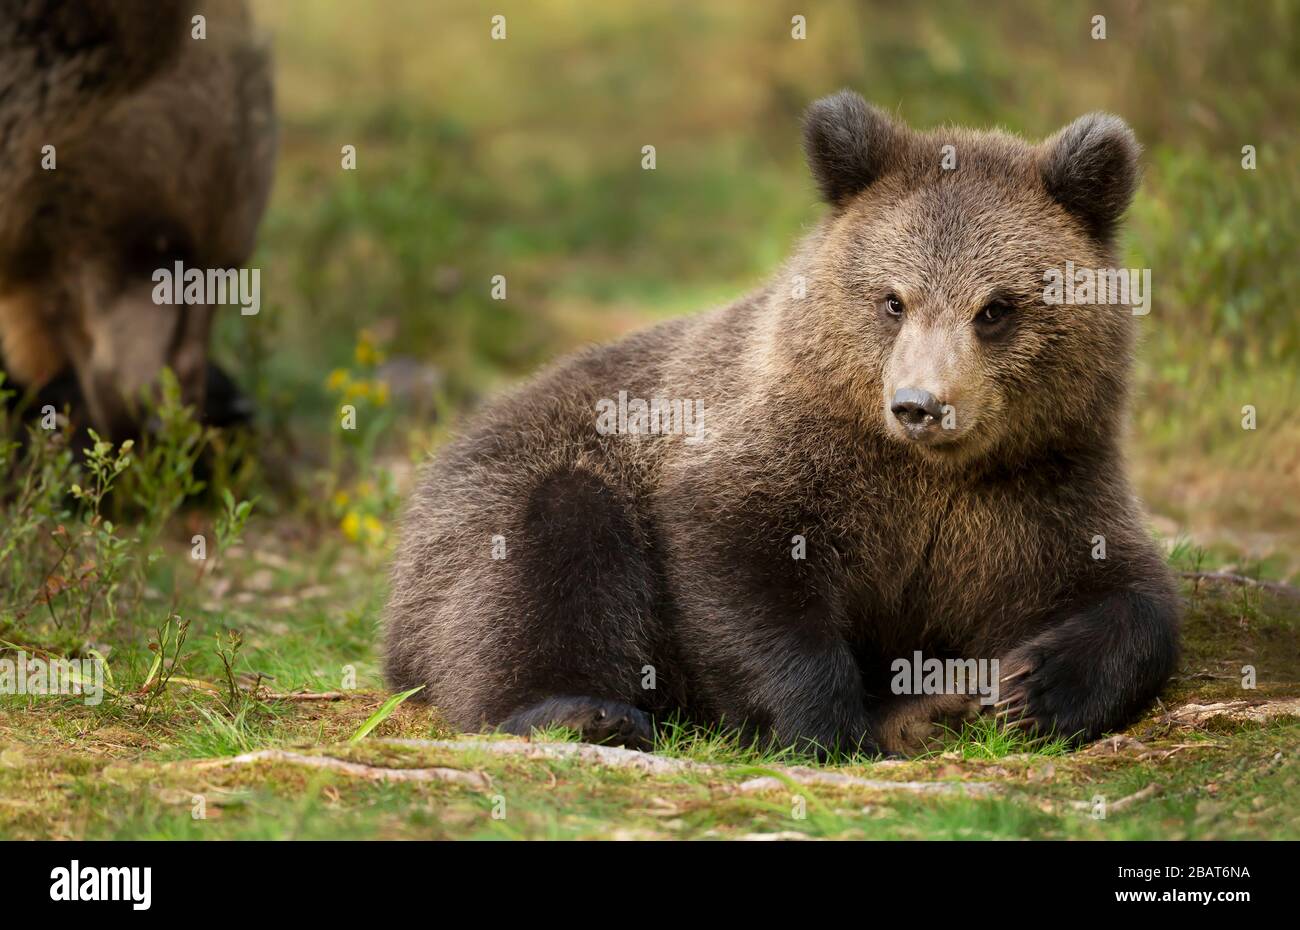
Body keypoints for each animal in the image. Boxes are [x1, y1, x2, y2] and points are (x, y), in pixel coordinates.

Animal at [384, 90, 1181, 756]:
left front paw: (1030, 687)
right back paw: (578, 711)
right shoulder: (774, 453)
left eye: (996, 308)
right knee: (543, 555)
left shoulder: (1037, 486)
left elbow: (1127, 594)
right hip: (486, 503)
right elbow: (745, 569)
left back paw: (932, 709)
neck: (927, 471)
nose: (920, 404)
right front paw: (823, 726)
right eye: (893, 299)